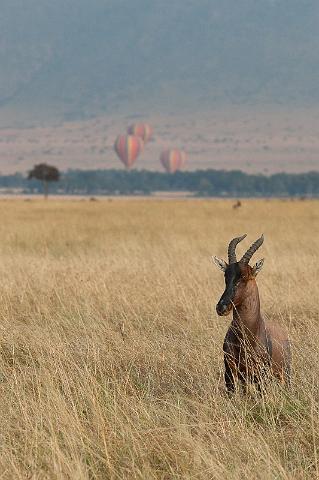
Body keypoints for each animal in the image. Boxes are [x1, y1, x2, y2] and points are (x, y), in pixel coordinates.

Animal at [214, 233, 292, 394]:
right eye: (226, 276)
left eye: (245, 276)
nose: (222, 307)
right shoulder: (229, 373)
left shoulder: (261, 376)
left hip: (284, 375)